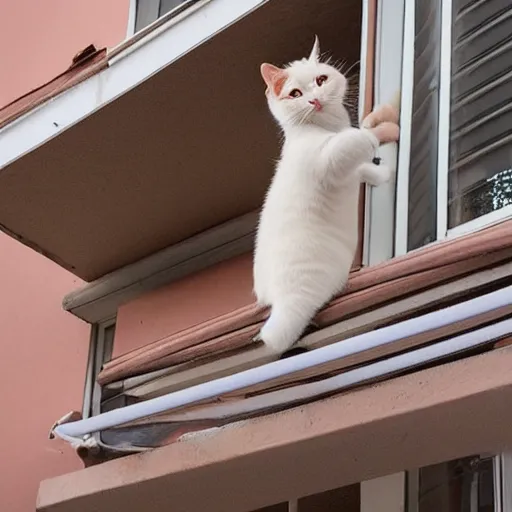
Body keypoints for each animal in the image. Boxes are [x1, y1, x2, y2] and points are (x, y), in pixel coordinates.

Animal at [252, 38, 400, 354]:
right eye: (295, 93)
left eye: (321, 80)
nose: (313, 100)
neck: (327, 127)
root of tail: (278, 301)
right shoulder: (331, 157)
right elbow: (363, 137)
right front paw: (386, 126)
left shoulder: (349, 166)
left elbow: (364, 168)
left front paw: (381, 173)